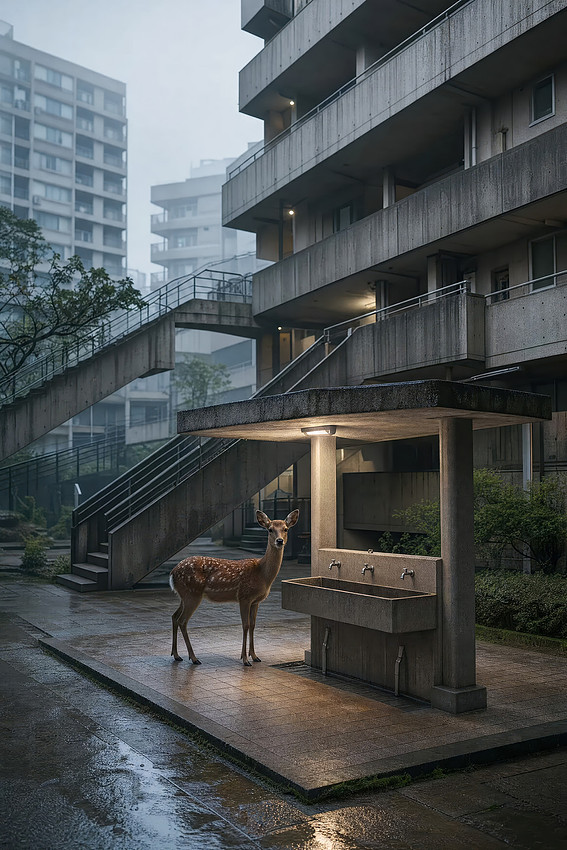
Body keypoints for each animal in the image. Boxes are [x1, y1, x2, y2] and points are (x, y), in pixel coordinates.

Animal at [169, 509, 299, 666]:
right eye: (270, 529)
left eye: (285, 529)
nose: (279, 541)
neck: (262, 574)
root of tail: (172, 573)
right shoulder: (244, 596)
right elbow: (245, 625)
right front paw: (245, 659)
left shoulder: (256, 601)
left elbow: (253, 625)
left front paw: (254, 656)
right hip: (192, 594)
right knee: (182, 620)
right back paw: (194, 658)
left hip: (184, 595)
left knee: (174, 616)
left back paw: (176, 655)